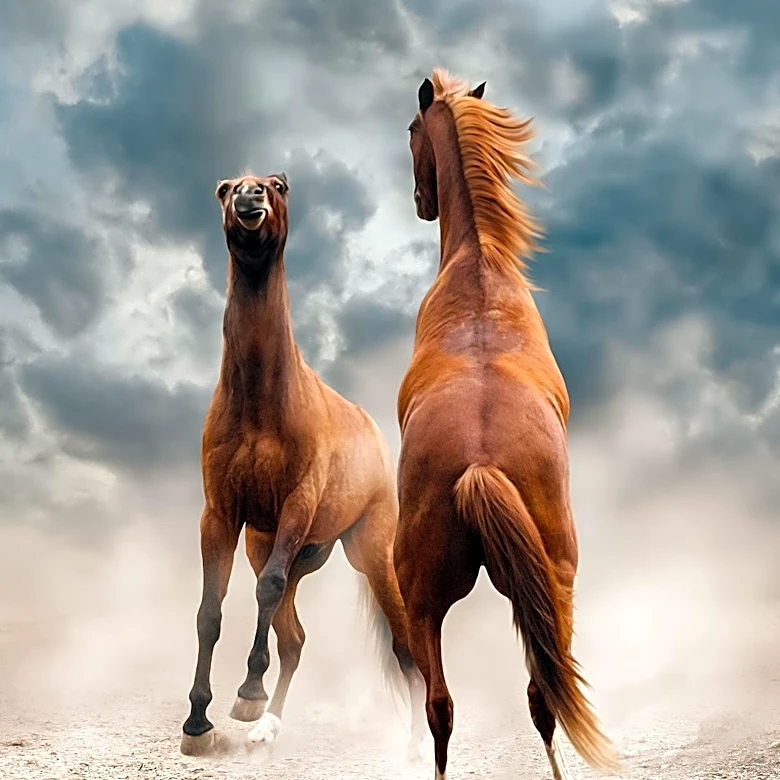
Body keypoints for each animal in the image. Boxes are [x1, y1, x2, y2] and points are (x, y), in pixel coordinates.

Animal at [180, 171, 425, 758]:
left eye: (277, 184)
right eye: (225, 188)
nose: (250, 199)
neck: (260, 404)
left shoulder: (299, 501)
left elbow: (263, 591)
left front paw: (246, 693)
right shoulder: (221, 515)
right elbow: (210, 608)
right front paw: (198, 719)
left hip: (369, 552)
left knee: (406, 646)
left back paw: (413, 745)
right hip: (284, 549)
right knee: (293, 638)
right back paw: (267, 725)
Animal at [393, 69, 622, 780]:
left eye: (410, 130)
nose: (422, 202)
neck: (478, 265)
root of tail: (481, 464)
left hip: (421, 601)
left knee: (441, 709)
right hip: (554, 587)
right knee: (542, 697)